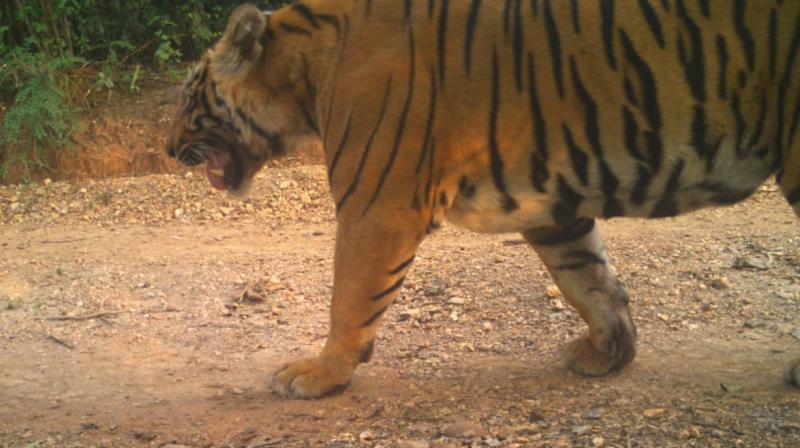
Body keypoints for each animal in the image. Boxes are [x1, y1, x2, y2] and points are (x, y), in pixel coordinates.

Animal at [164, 0, 800, 400]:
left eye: (190, 96)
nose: (168, 149)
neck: (303, 69)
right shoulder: (555, 204)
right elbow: (589, 279)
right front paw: (608, 350)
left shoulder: (377, 205)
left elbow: (349, 297)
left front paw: (321, 374)